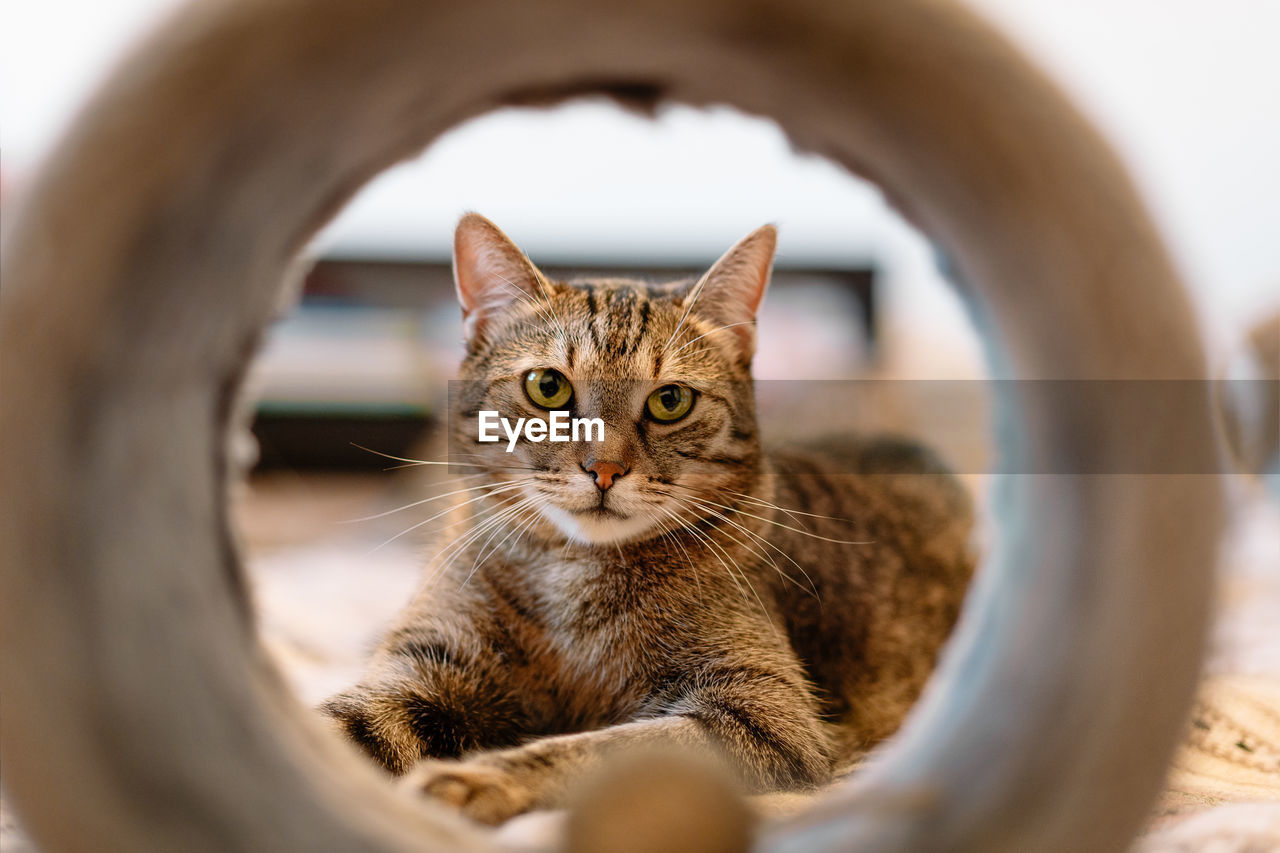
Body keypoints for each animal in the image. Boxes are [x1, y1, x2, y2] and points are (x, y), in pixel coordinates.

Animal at [320, 212, 967, 824]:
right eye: (548, 386)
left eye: (670, 401)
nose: (604, 469)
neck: (573, 583)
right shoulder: (427, 663)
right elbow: (340, 723)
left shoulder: (766, 711)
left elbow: (601, 750)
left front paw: (478, 779)